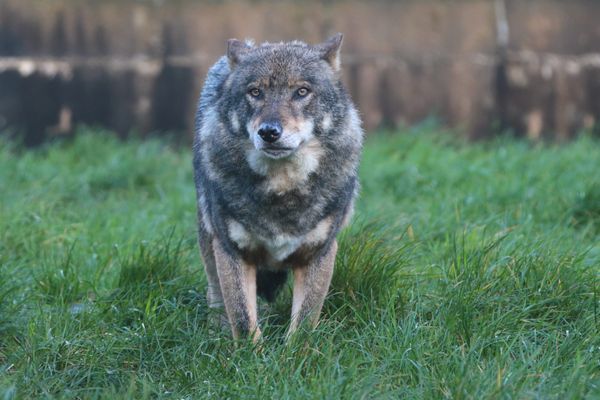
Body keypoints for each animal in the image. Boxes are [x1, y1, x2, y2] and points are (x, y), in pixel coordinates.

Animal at [193, 32, 360, 342]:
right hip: (208, 238)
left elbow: (304, 323)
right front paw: (251, 354)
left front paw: (293, 352)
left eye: (302, 92)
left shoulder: (318, 253)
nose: (269, 132)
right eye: (255, 92)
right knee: (216, 293)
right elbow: (243, 320)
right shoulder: (232, 251)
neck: (283, 191)